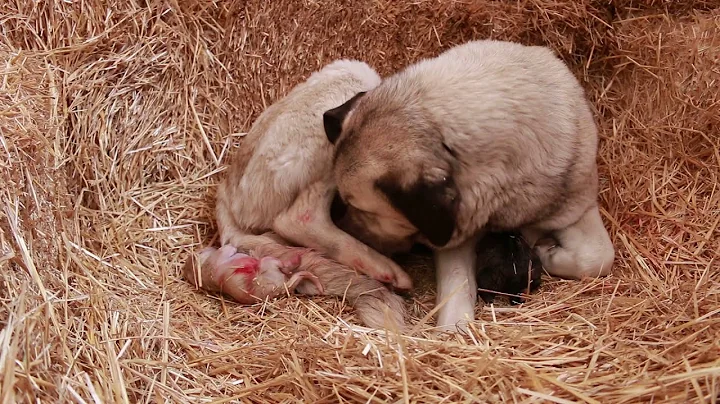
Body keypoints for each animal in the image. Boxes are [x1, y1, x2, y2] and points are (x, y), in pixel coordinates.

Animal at [324, 39, 616, 332]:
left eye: (363, 210)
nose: (338, 220)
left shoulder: (577, 208)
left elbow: (599, 257)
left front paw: (546, 254)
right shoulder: (456, 237)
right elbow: (458, 284)